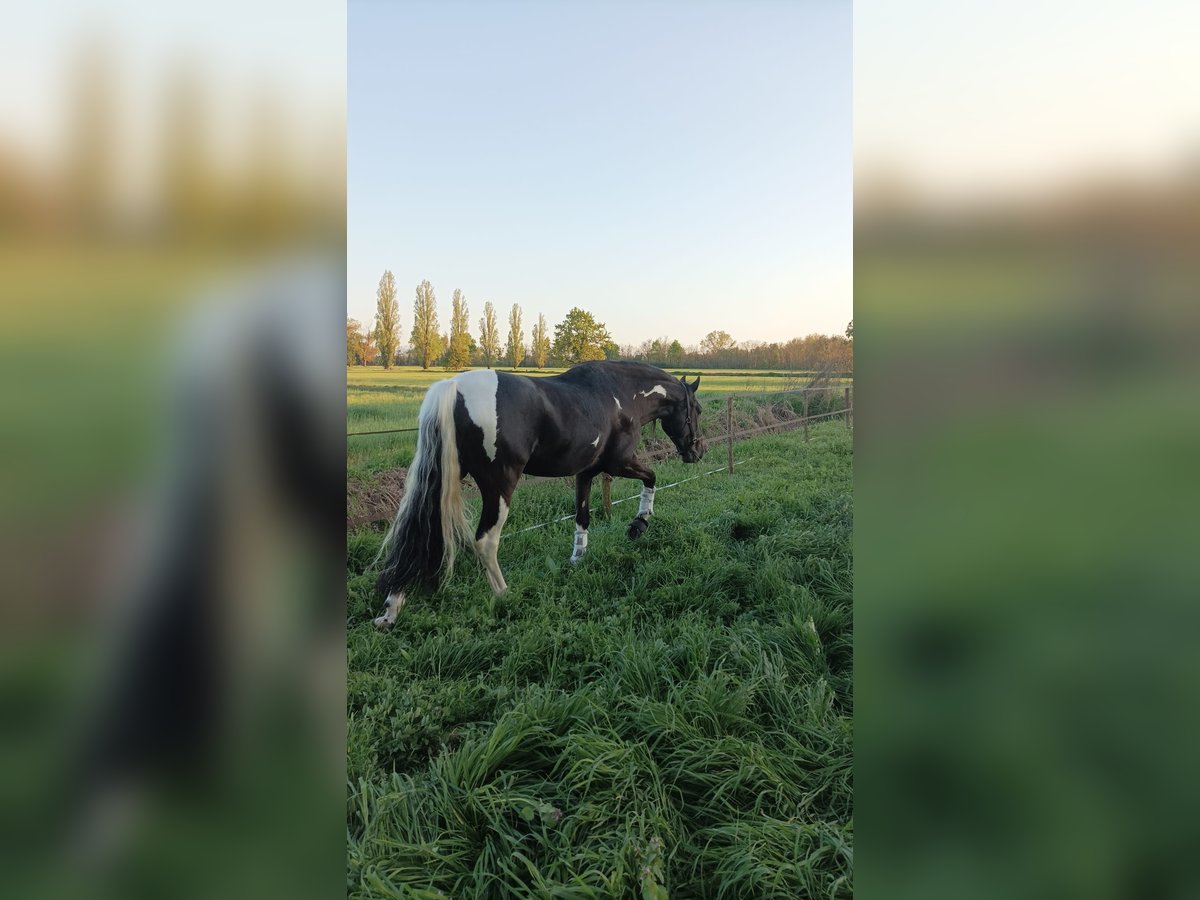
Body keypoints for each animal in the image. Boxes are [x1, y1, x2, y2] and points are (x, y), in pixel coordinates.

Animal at [372, 360, 706, 628]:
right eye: (698, 410)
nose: (698, 451)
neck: (622, 395)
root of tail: (454, 388)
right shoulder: (620, 463)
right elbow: (652, 478)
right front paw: (639, 523)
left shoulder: (585, 473)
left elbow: (582, 518)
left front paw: (577, 560)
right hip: (499, 486)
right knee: (485, 541)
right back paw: (504, 595)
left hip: (439, 479)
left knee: (419, 535)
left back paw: (391, 611)